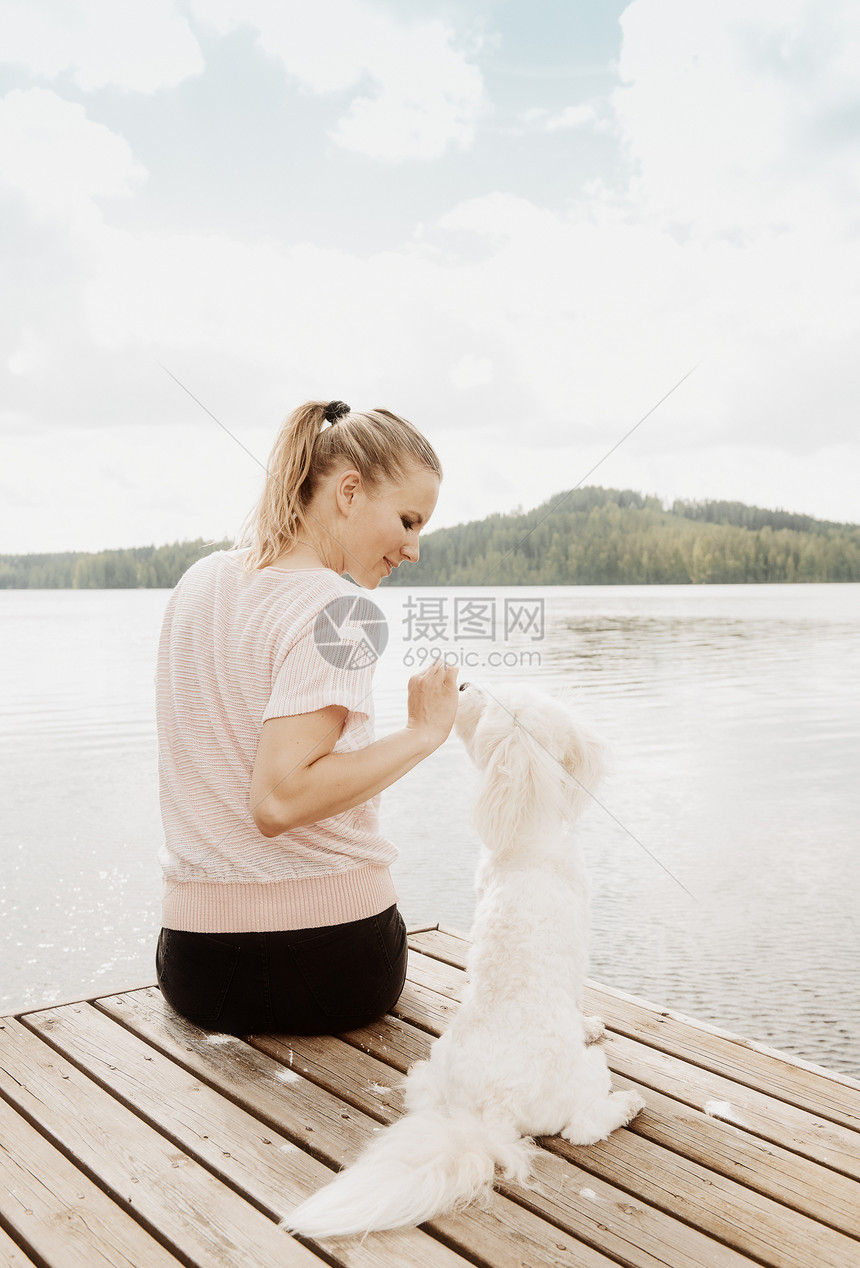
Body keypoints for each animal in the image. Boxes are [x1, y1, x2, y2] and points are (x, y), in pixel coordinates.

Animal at [284, 684, 646, 1237]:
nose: (462, 687)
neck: (526, 832)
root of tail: (490, 1112)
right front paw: (589, 1024)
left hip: (429, 1078)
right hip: (585, 1075)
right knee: (582, 1128)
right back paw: (626, 1105)